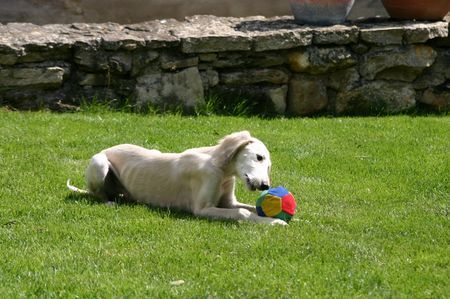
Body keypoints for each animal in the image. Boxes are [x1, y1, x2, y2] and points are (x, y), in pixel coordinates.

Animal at [67, 131, 288, 225]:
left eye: (268, 166)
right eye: (259, 157)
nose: (265, 185)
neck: (220, 167)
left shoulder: (228, 202)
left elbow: (248, 207)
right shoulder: (202, 209)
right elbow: (242, 212)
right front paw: (274, 223)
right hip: (100, 163)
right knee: (98, 193)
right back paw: (109, 202)